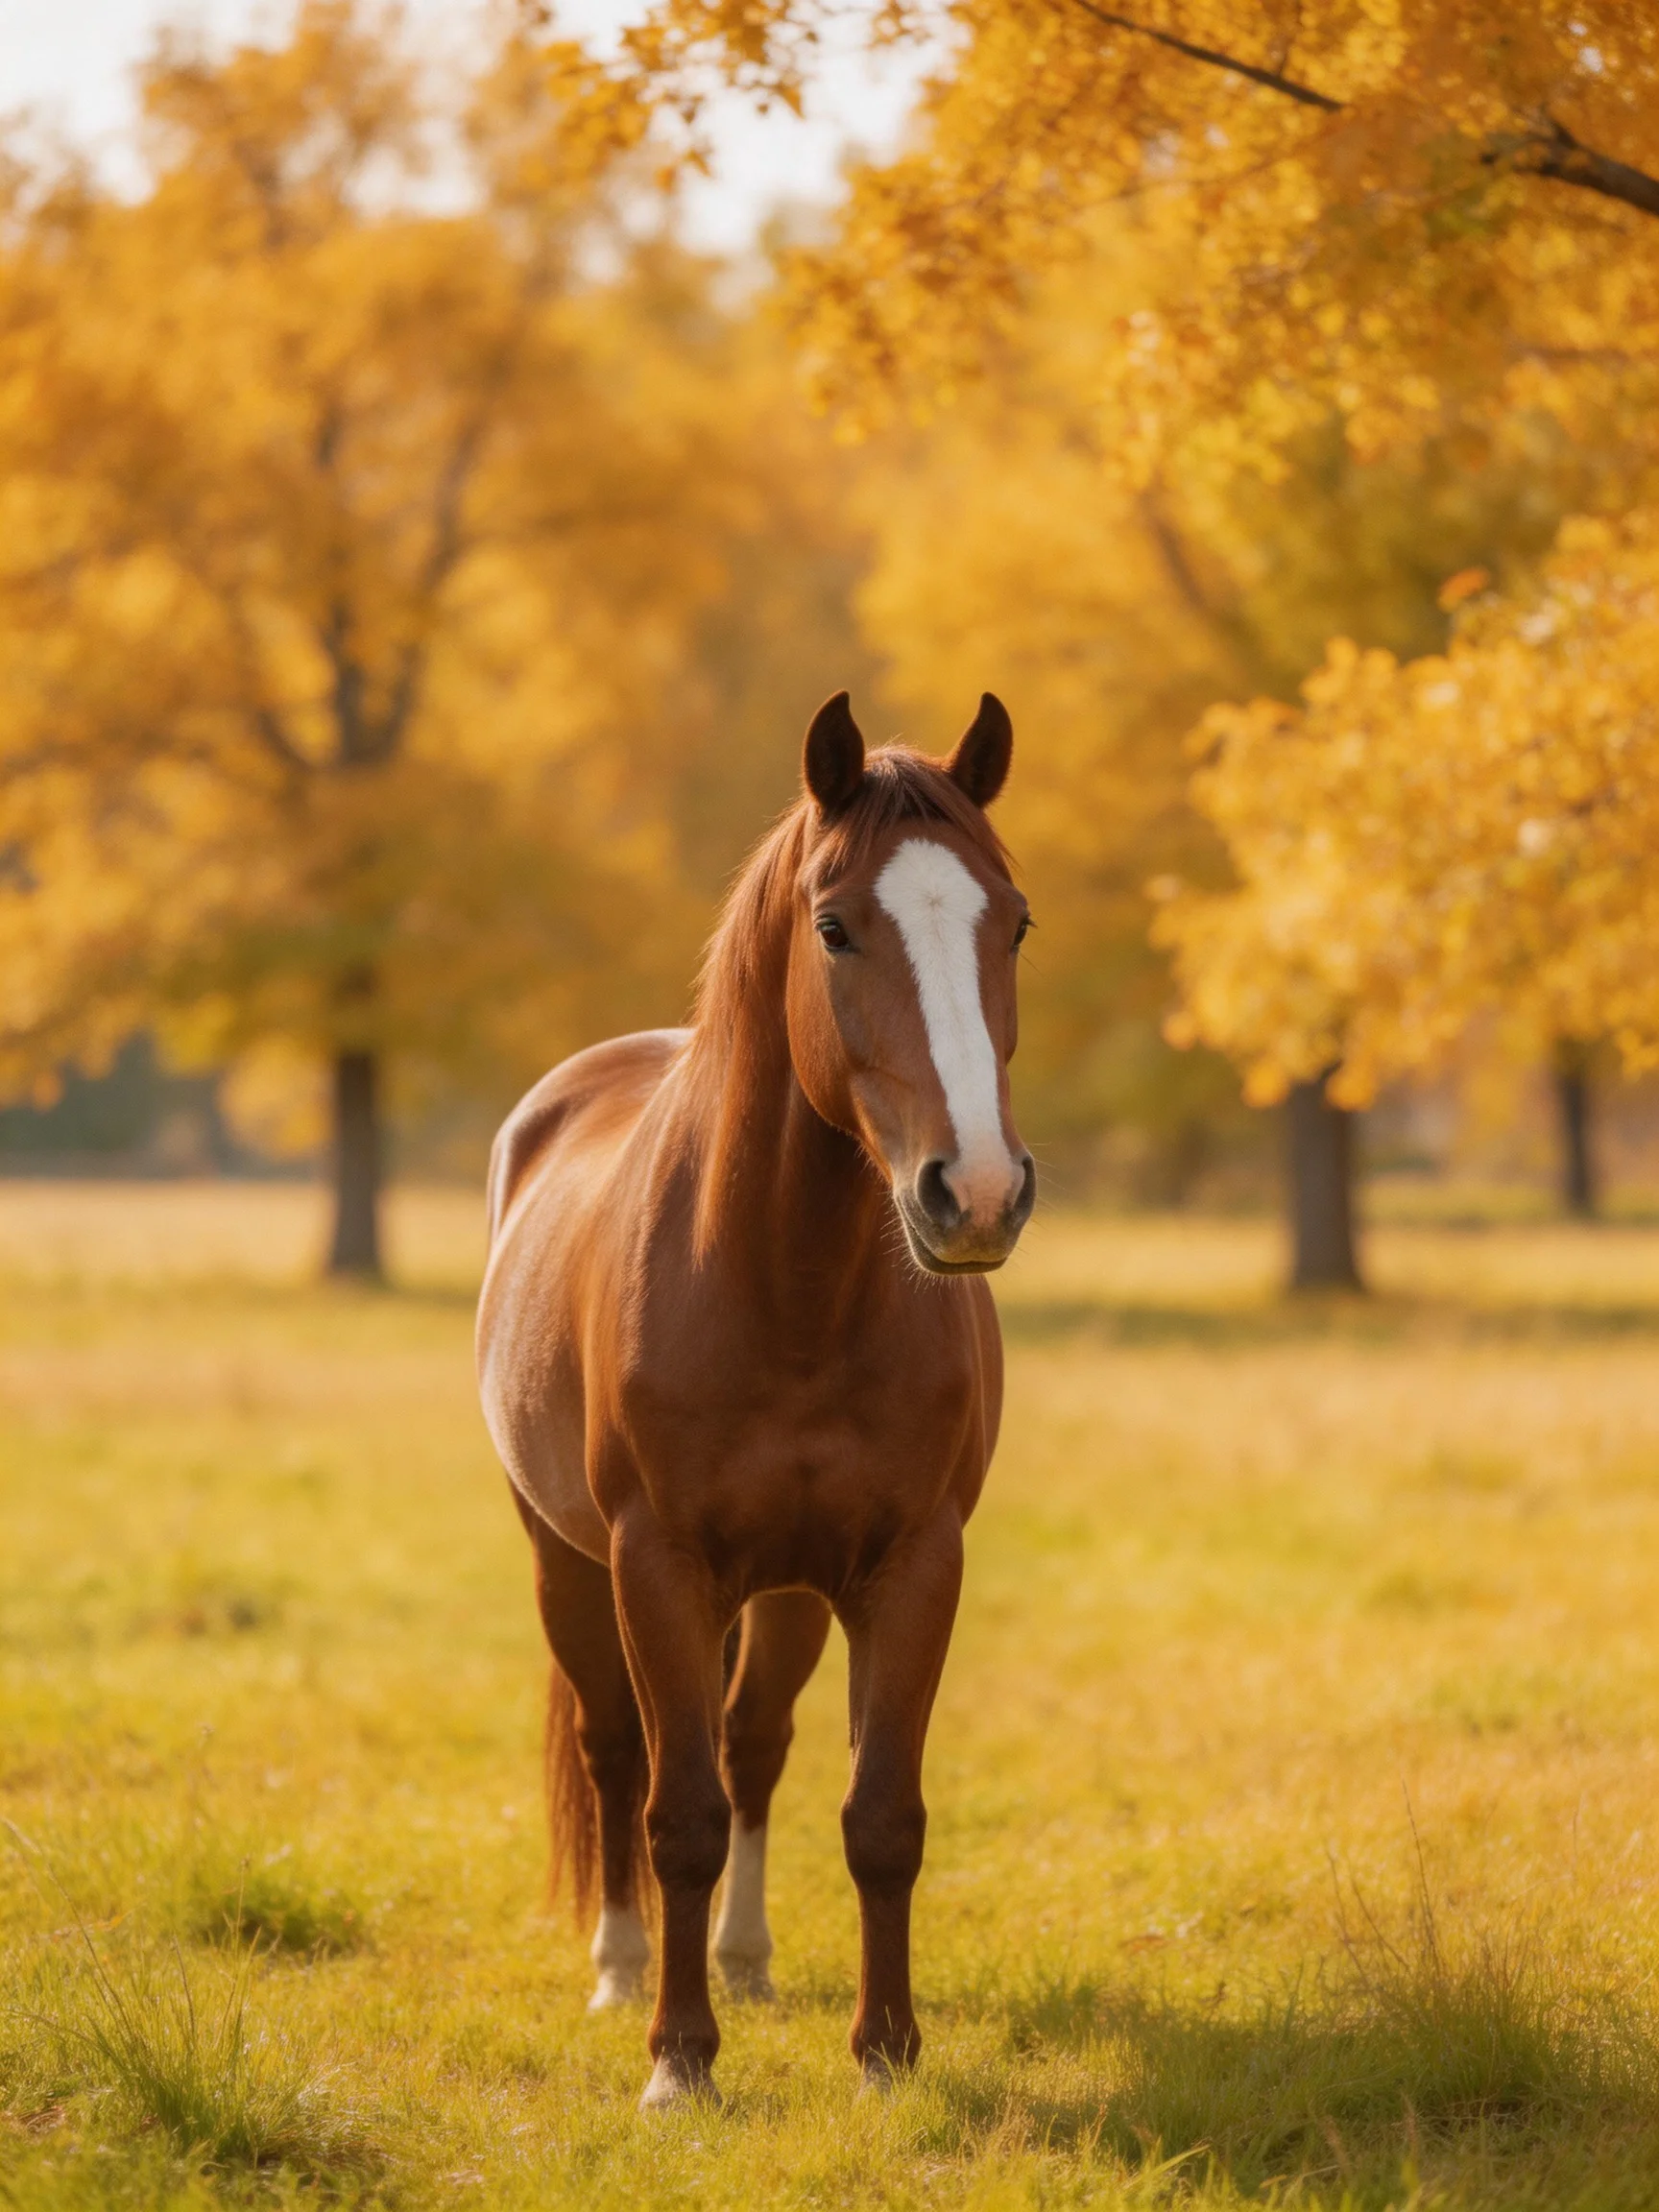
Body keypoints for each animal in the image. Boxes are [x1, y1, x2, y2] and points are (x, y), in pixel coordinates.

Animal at [476, 689, 1035, 2108]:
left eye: (1014, 919)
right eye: (834, 926)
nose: (978, 1192)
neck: (789, 1286)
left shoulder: (910, 1566)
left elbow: (880, 1815)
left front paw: (886, 2054)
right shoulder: (656, 1565)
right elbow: (675, 1812)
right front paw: (680, 2065)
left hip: (783, 1592)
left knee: (753, 1746)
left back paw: (745, 1958)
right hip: (566, 1562)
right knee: (622, 1750)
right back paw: (625, 1970)